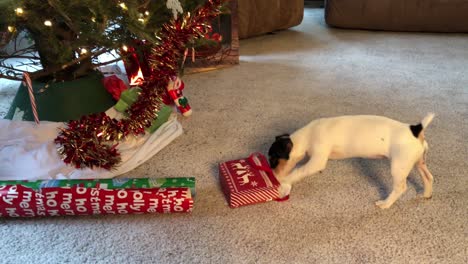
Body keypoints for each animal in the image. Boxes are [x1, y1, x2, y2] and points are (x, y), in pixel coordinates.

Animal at [268, 113, 436, 208]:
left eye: (273, 160)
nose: (271, 174)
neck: (306, 136)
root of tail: (415, 129)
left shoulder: (317, 161)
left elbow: (298, 171)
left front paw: (283, 182)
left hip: (398, 167)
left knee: (400, 188)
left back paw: (385, 204)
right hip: (419, 162)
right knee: (428, 177)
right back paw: (426, 194)